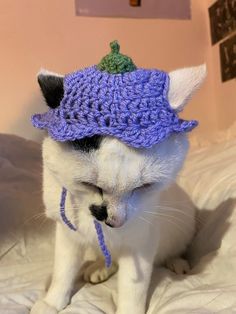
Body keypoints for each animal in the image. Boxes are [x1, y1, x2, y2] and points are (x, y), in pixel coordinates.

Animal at [30, 63, 206, 314]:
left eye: (145, 186)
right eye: (89, 185)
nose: (114, 220)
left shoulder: (140, 243)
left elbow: (133, 289)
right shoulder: (68, 235)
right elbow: (63, 272)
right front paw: (52, 301)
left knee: (173, 250)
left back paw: (176, 262)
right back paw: (99, 268)